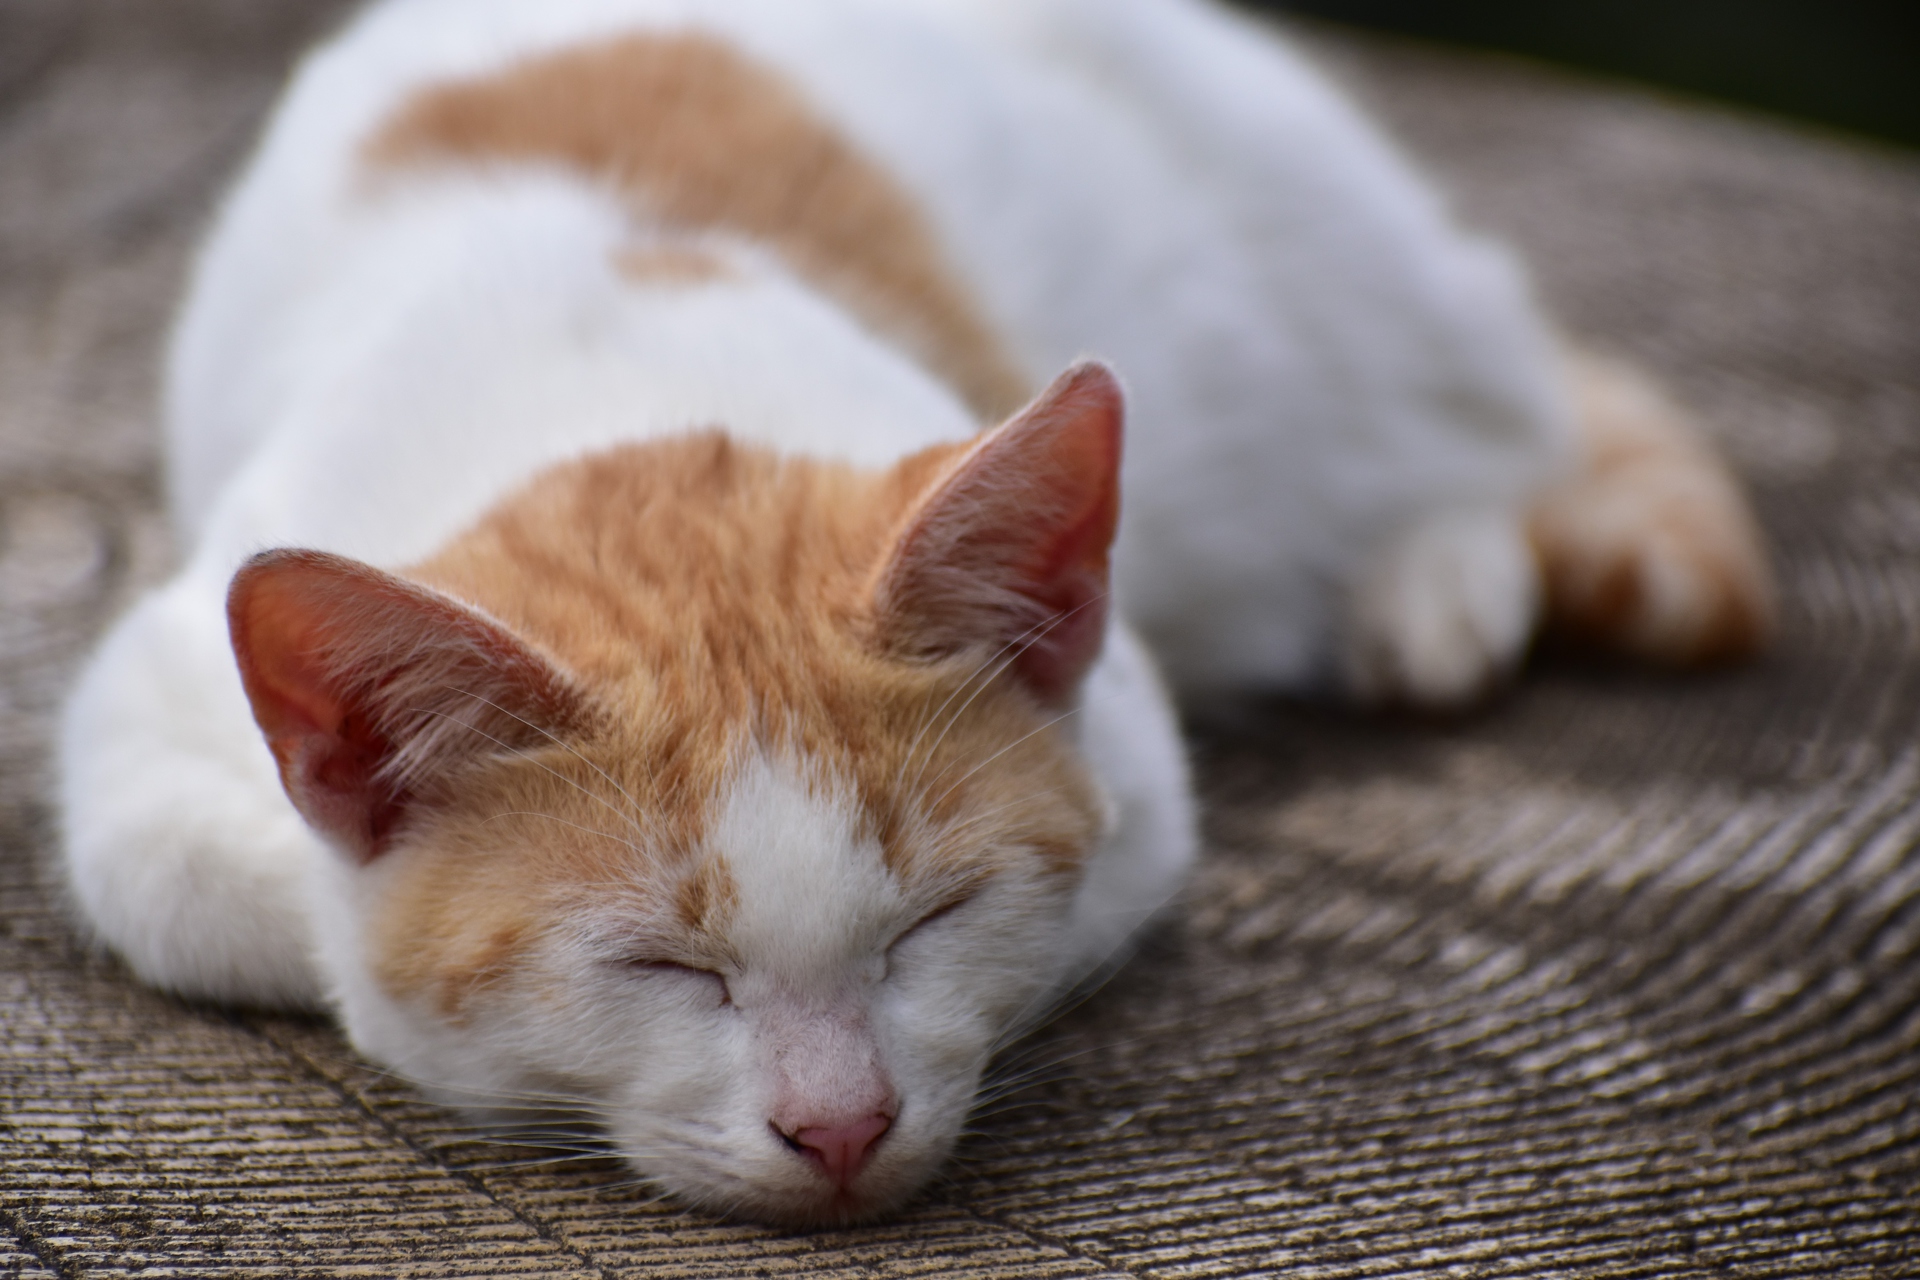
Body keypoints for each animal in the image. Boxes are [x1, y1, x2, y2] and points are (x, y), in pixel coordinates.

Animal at [56, 0, 1766, 1228]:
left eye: (933, 919)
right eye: (663, 969)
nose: (841, 1127)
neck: (617, 383)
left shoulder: (1127, 734)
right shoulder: (145, 708)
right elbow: (235, 899)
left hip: (1334, 260)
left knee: (1499, 406)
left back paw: (1430, 578)